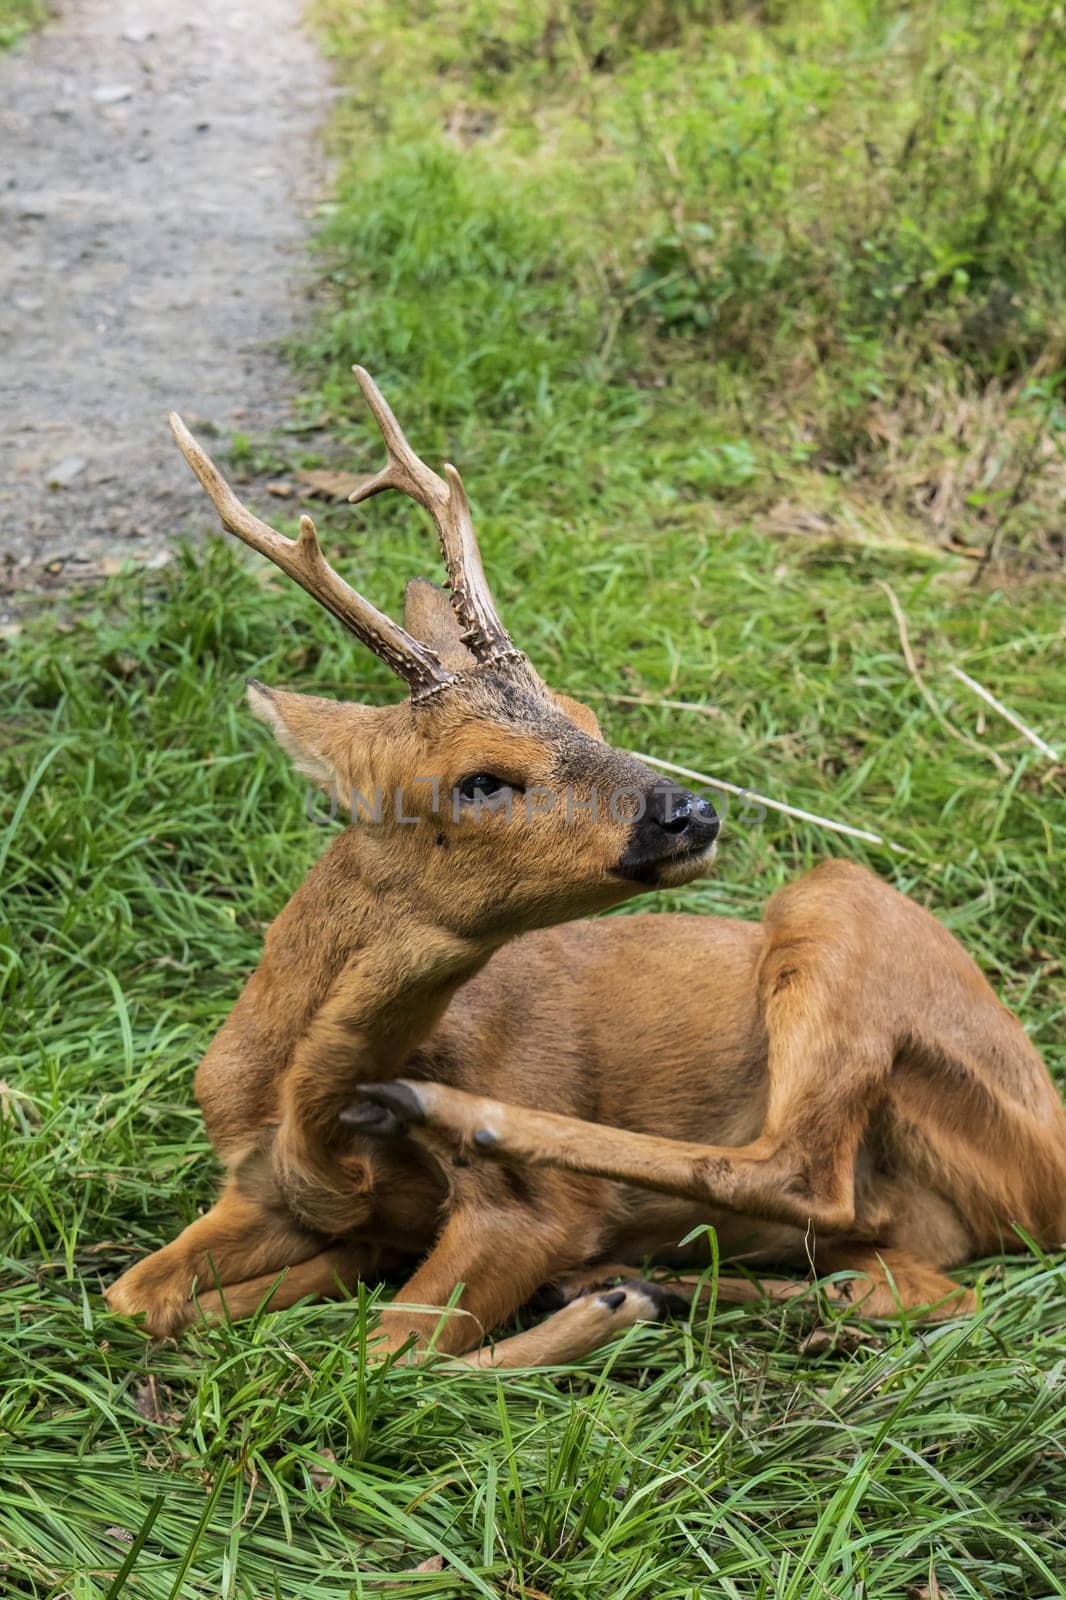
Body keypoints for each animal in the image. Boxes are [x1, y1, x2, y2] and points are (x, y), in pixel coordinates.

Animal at [105, 368, 1062, 1369]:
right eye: (481, 779)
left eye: (587, 716)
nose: (690, 812)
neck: (308, 1117)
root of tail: (1054, 1177)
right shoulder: (260, 1184)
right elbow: (135, 1297)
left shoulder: (531, 1210)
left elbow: (386, 1354)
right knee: (905, 1283)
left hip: (834, 902)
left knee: (807, 1178)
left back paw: (524, 1189)